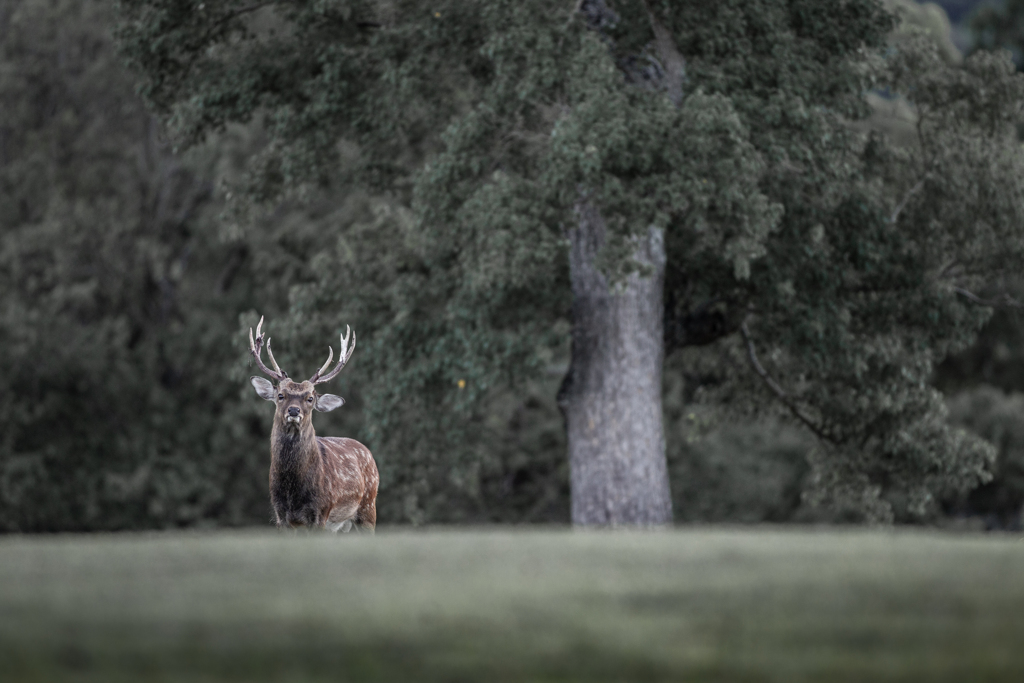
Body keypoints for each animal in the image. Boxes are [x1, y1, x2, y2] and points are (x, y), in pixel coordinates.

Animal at [247, 315, 380, 532]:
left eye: (310, 398)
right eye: (281, 395)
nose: (294, 411)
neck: (293, 492)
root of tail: (367, 452)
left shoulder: (321, 511)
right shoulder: (280, 516)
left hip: (368, 506)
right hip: (342, 525)